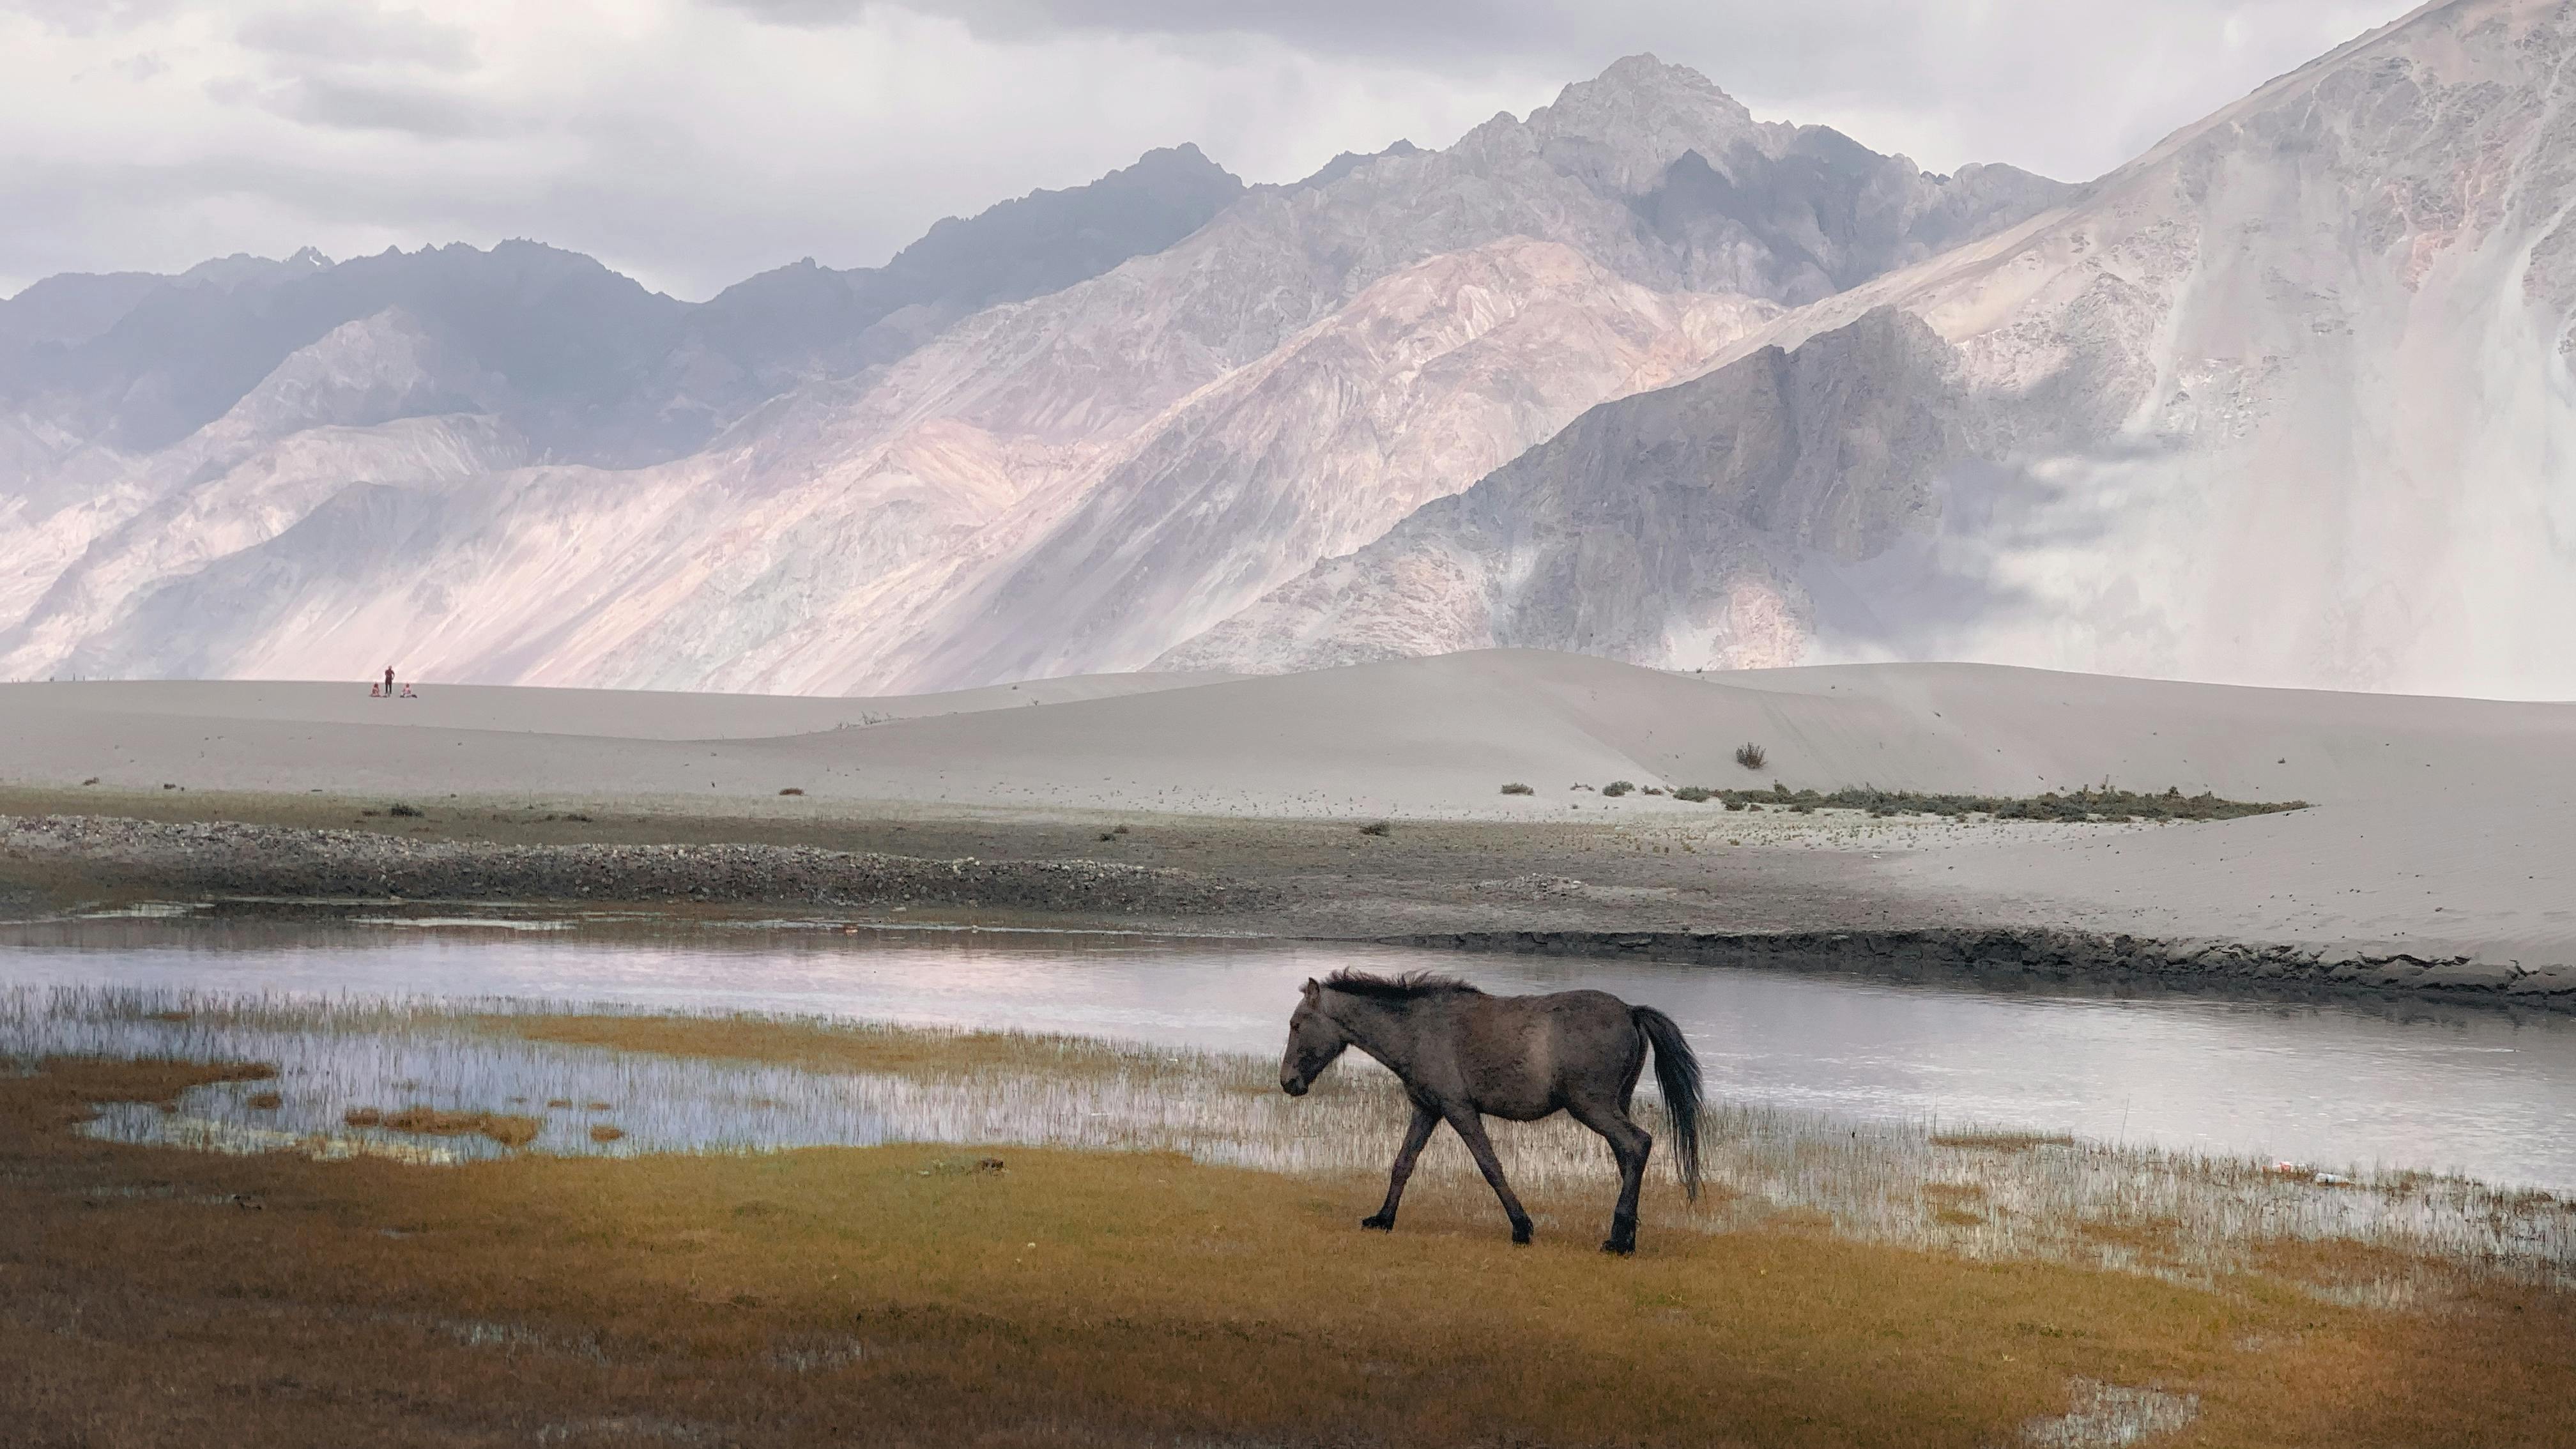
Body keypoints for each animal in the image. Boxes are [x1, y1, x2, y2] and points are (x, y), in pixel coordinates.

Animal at [1277, 969, 1700, 1253]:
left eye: (1297, 1024)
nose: (1288, 1082)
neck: (1415, 1030)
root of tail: (1630, 1011)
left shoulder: (1459, 1109)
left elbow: (1490, 1166)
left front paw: (1522, 1228)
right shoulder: (1427, 1110)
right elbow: (1403, 1164)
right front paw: (1383, 1219)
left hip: (1592, 1107)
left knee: (1637, 1144)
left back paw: (1618, 1241)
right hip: (1612, 1106)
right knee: (1628, 1155)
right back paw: (1625, 1237)